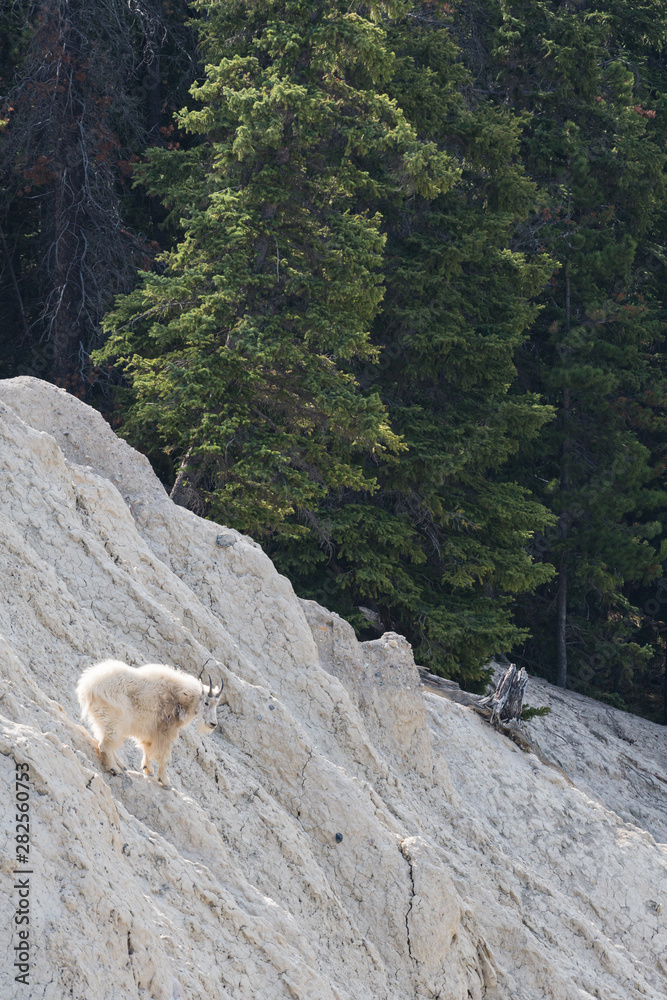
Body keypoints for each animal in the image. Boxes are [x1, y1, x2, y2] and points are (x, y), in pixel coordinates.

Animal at [76, 659, 224, 787]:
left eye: (216, 704)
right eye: (206, 703)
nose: (213, 723)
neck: (180, 696)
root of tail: (88, 686)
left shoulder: (150, 730)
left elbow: (147, 747)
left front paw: (148, 770)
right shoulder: (165, 730)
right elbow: (163, 755)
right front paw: (165, 781)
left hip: (105, 719)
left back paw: (121, 765)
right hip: (115, 719)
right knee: (105, 744)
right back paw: (114, 769)